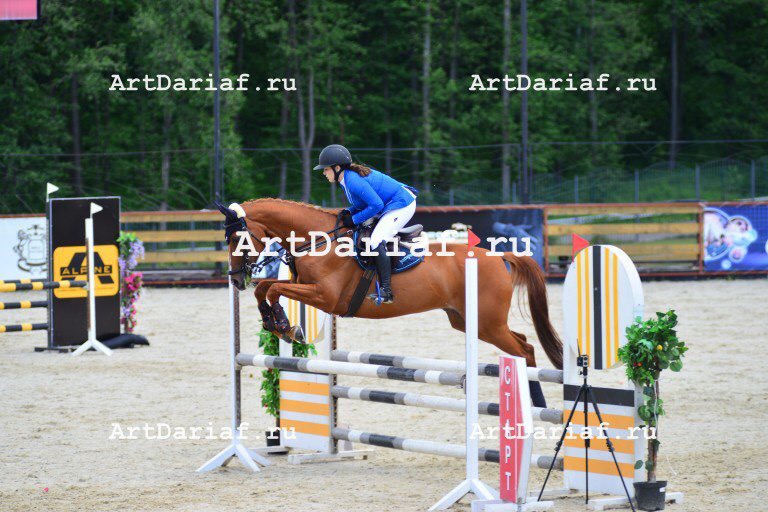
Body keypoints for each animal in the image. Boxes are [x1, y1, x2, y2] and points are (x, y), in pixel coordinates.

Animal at [217, 199, 563, 397]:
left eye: (236, 238)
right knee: (521, 343)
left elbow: (273, 289)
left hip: (487, 323)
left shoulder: (326, 297)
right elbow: (265, 288)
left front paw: (287, 327)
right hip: (468, 322)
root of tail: (499, 256)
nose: (234, 279)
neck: (318, 240)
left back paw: (535, 400)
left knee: (525, 348)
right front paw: (276, 323)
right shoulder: (304, 286)